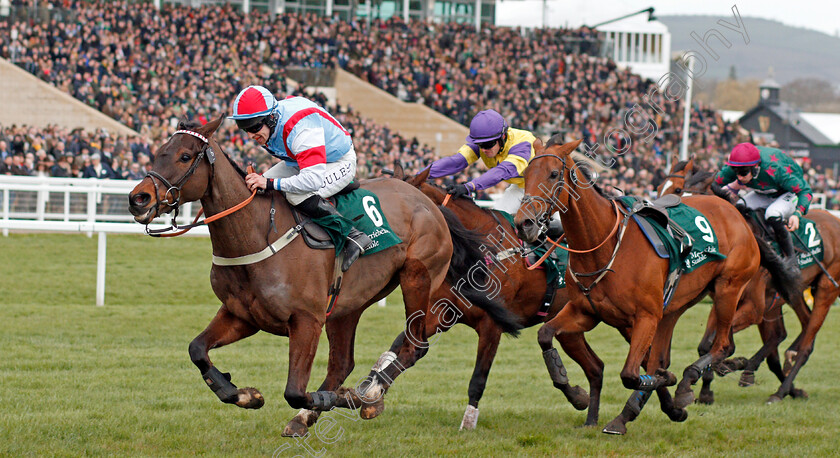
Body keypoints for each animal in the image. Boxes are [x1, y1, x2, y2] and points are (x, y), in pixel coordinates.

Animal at [125, 116, 512, 424]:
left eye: (185, 156)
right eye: (157, 152)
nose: (138, 199)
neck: (256, 235)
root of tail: (427, 201)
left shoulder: (306, 320)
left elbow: (295, 390)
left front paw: (338, 398)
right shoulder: (242, 315)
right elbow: (197, 350)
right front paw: (244, 394)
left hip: (418, 279)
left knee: (414, 346)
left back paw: (366, 395)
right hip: (347, 304)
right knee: (343, 361)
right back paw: (315, 414)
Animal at [512, 137, 760, 436]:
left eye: (552, 174)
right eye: (525, 175)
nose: (523, 224)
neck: (602, 247)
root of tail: (732, 209)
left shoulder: (645, 317)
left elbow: (631, 375)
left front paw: (666, 385)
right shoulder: (586, 312)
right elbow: (545, 334)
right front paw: (576, 393)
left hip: (728, 288)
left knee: (722, 345)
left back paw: (688, 382)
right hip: (674, 307)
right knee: (669, 354)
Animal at [660, 162, 836, 404]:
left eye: (677, 190)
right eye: (661, 187)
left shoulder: (753, 305)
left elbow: (716, 342)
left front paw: (725, 367)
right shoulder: (726, 297)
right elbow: (708, 343)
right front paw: (708, 387)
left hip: (825, 291)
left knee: (805, 344)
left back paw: (780, 389)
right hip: (790, 294)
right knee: (788, 332)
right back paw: (781, 380)